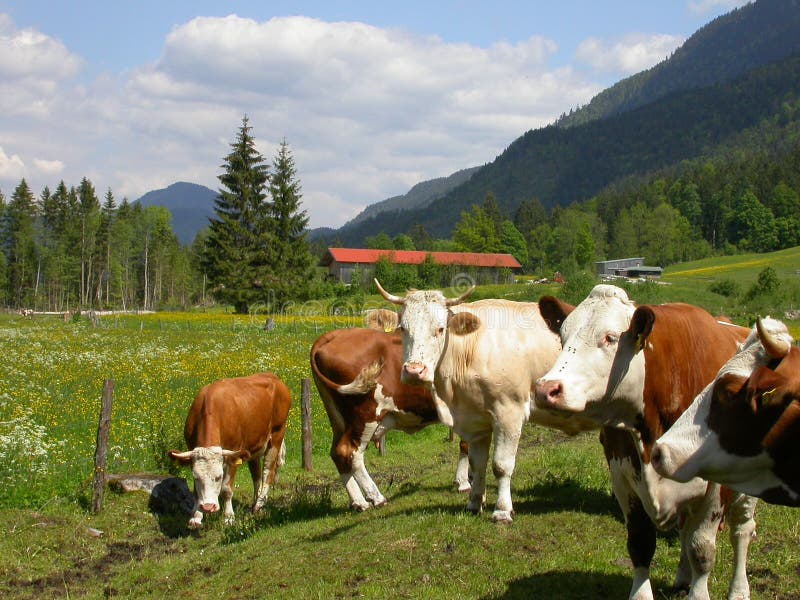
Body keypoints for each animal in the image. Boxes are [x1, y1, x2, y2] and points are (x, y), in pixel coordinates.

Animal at [168, 372, 290, 528]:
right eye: (196, 477)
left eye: (219, 477)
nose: (208, 507)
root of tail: (273, 376)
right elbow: (195, 491)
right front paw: (196, 517)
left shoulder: (233, 454)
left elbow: (226, 489)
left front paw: (228, 518)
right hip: (253, 444)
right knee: (256, 474)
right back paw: (255, 503)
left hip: (277, 433)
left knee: (268, 470)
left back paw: (260, 503)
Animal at [310, 328, 472, 510]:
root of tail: (334, 334)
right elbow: (466, 444)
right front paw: (464, 482)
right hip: (365, 415)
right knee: (349, 452)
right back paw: (376, 497)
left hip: (338, 420)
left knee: (337, 454)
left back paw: (358, 501)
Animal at [372, 278, 592, 524]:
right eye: (402, 328)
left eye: (440, 329)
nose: (413, 371)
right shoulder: (475, 420)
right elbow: (477, 464)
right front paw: (474, 503)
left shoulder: (509, 413)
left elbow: (501, 465)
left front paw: (502, 511)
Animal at [532, 286, 756, 600]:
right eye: (562, 337)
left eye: (610, 338)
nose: (546, 389)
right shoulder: (623, 476)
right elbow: (640, 543)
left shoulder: (714, 488)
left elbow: (702, 549)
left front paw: (699, 589)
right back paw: (682, 577)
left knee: (742, 530)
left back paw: (739, 589)